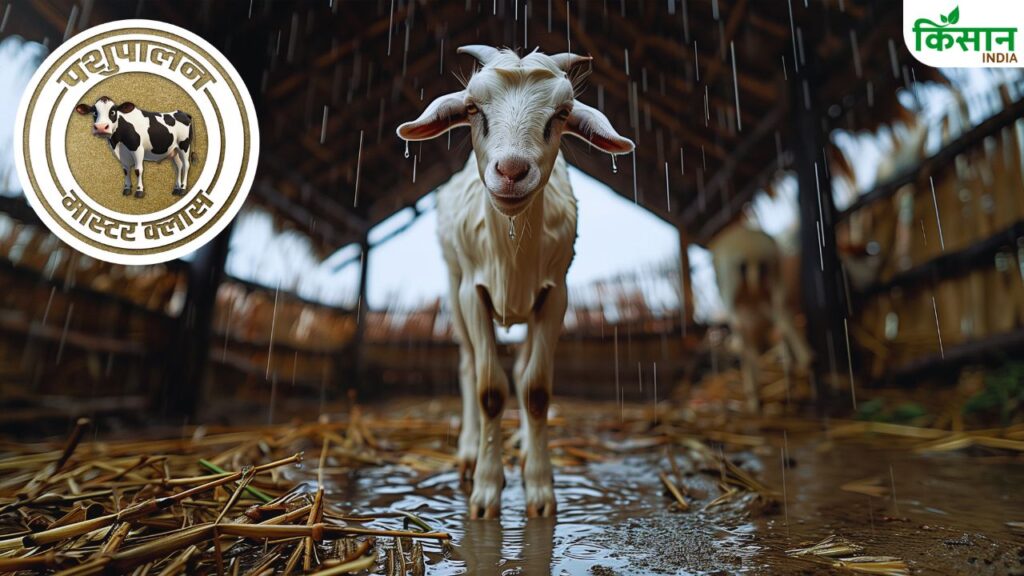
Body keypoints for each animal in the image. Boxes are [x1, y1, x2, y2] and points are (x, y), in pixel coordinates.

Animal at [397, 46, 633, 518]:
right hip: (453, 285)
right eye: (472, 108)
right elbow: (489, 389)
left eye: (562, 113)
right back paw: (470, 453)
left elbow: (536, 389)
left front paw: (540, 492)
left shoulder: (556, 295)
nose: (510, 170)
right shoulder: (473, 292)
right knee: (469, 365)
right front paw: (486, 494)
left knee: (523, 371)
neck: (513, 256)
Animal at [710, 222, 813, 412]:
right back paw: (806, 361)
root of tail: (752, 249)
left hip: (731, 282)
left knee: (740, 325)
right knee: (783, 316)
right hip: (775, 278)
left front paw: (753, 396)